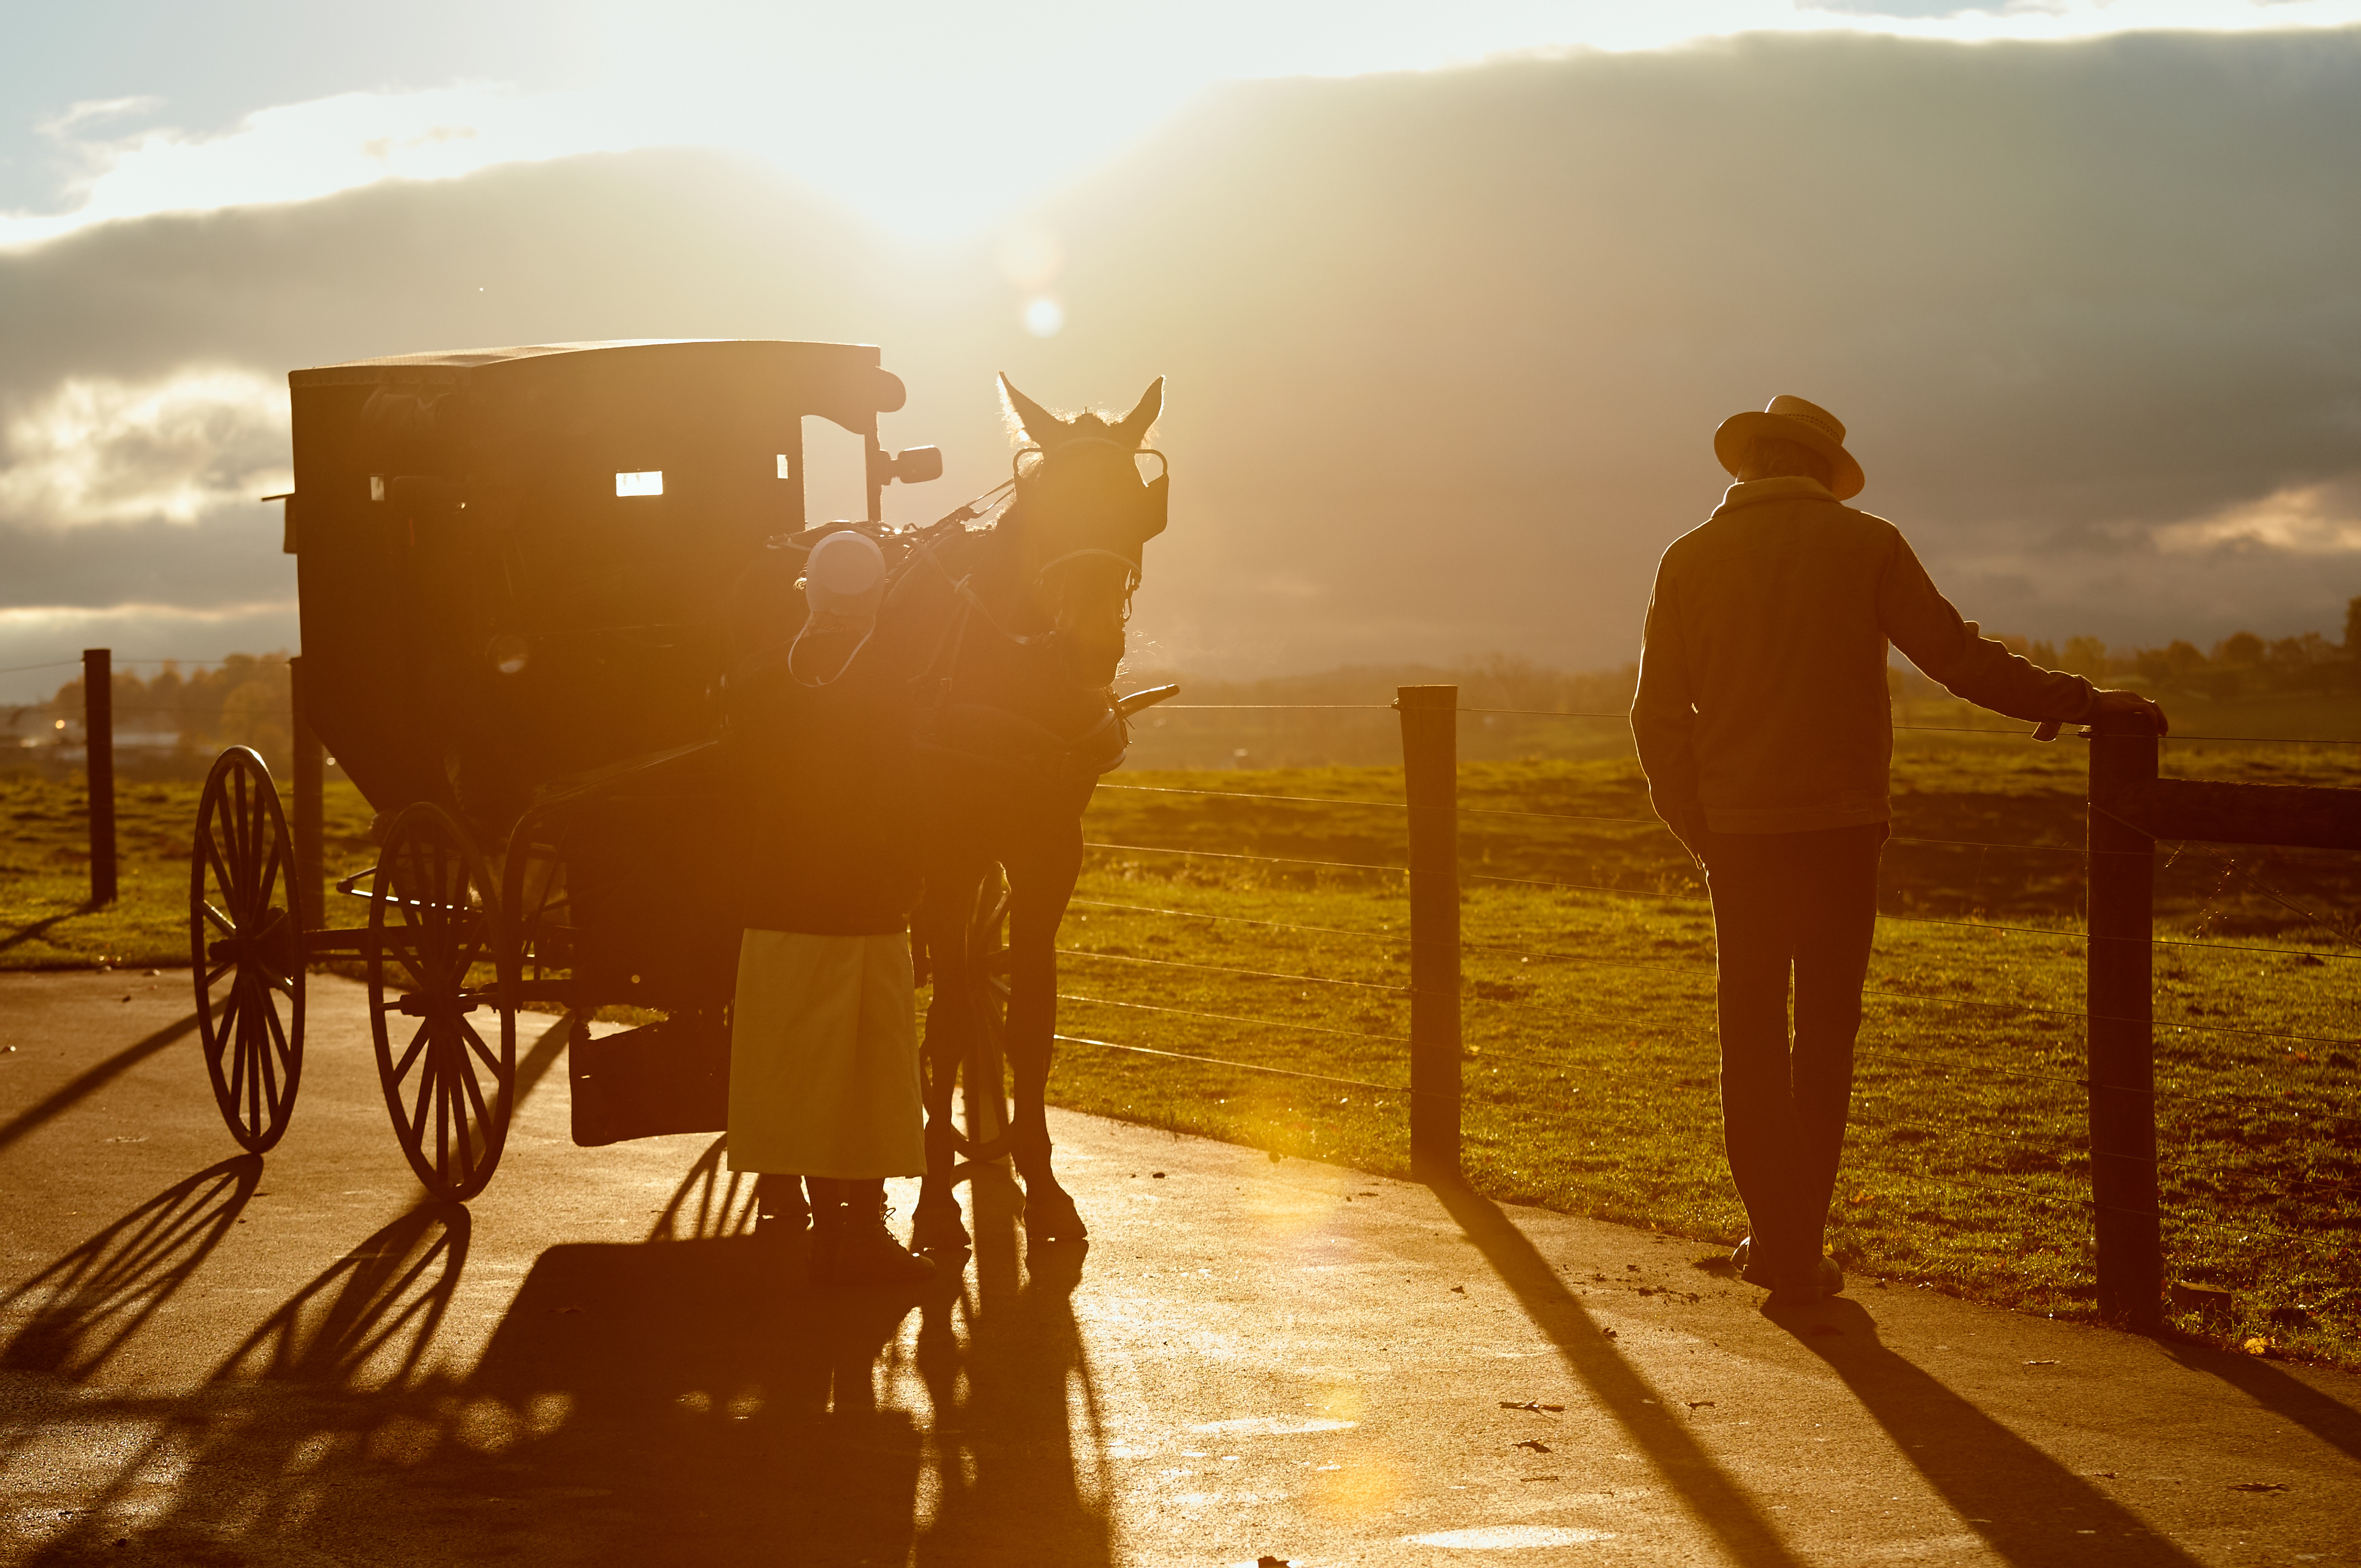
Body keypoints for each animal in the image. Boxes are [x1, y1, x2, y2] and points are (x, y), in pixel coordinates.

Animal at [878, 371, 1171, 1246]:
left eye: (1134, 504)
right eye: (1048, 508)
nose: (1090, 645)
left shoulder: (1049, 851)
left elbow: (1030, 1023)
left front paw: (1040, 1184)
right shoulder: (949, 853)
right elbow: (943, 1022)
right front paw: (937, 1199)